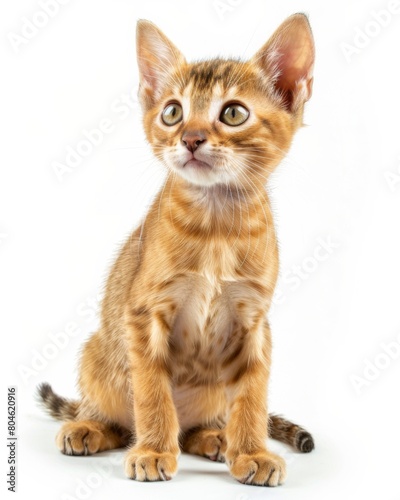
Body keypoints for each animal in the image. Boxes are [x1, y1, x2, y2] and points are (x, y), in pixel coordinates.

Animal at [38, 13, 316, 486]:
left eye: (233, 113)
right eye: (172, 112)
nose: (190, 138)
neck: (216, 229)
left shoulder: (254, 320)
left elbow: (252, 397)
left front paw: (251, 451)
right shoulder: (143, 313)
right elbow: (152, 392)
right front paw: (152, 450)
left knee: (191, 429)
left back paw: (214, 437)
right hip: (98, 353)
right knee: (119, 419)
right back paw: (90, 427)